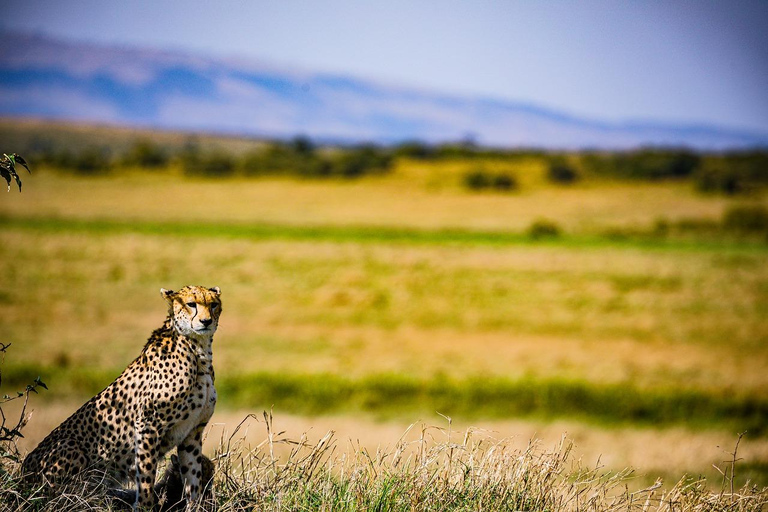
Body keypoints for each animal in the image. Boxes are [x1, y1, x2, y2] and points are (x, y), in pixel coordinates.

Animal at [23, 286, 222, 510]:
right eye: (191, 304)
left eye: (213, 304)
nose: (206, 321)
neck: (198, 352)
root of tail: (22, 473)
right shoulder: (148, 425)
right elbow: (146, 475)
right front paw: (144, 507)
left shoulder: (193, 431)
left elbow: (192, 476)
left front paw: (195, 506)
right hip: (70, 446)